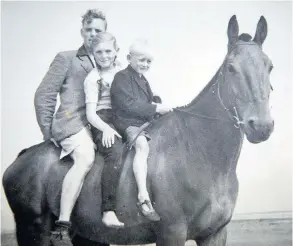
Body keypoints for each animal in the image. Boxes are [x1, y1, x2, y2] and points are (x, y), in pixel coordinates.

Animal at [2, 15, 274, 246]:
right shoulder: (172, 234)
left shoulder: (214, 234)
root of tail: (21, 158)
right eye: (231, 67)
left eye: (269, 66)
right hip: (33, 230)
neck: (199, 151)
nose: (261, 126)